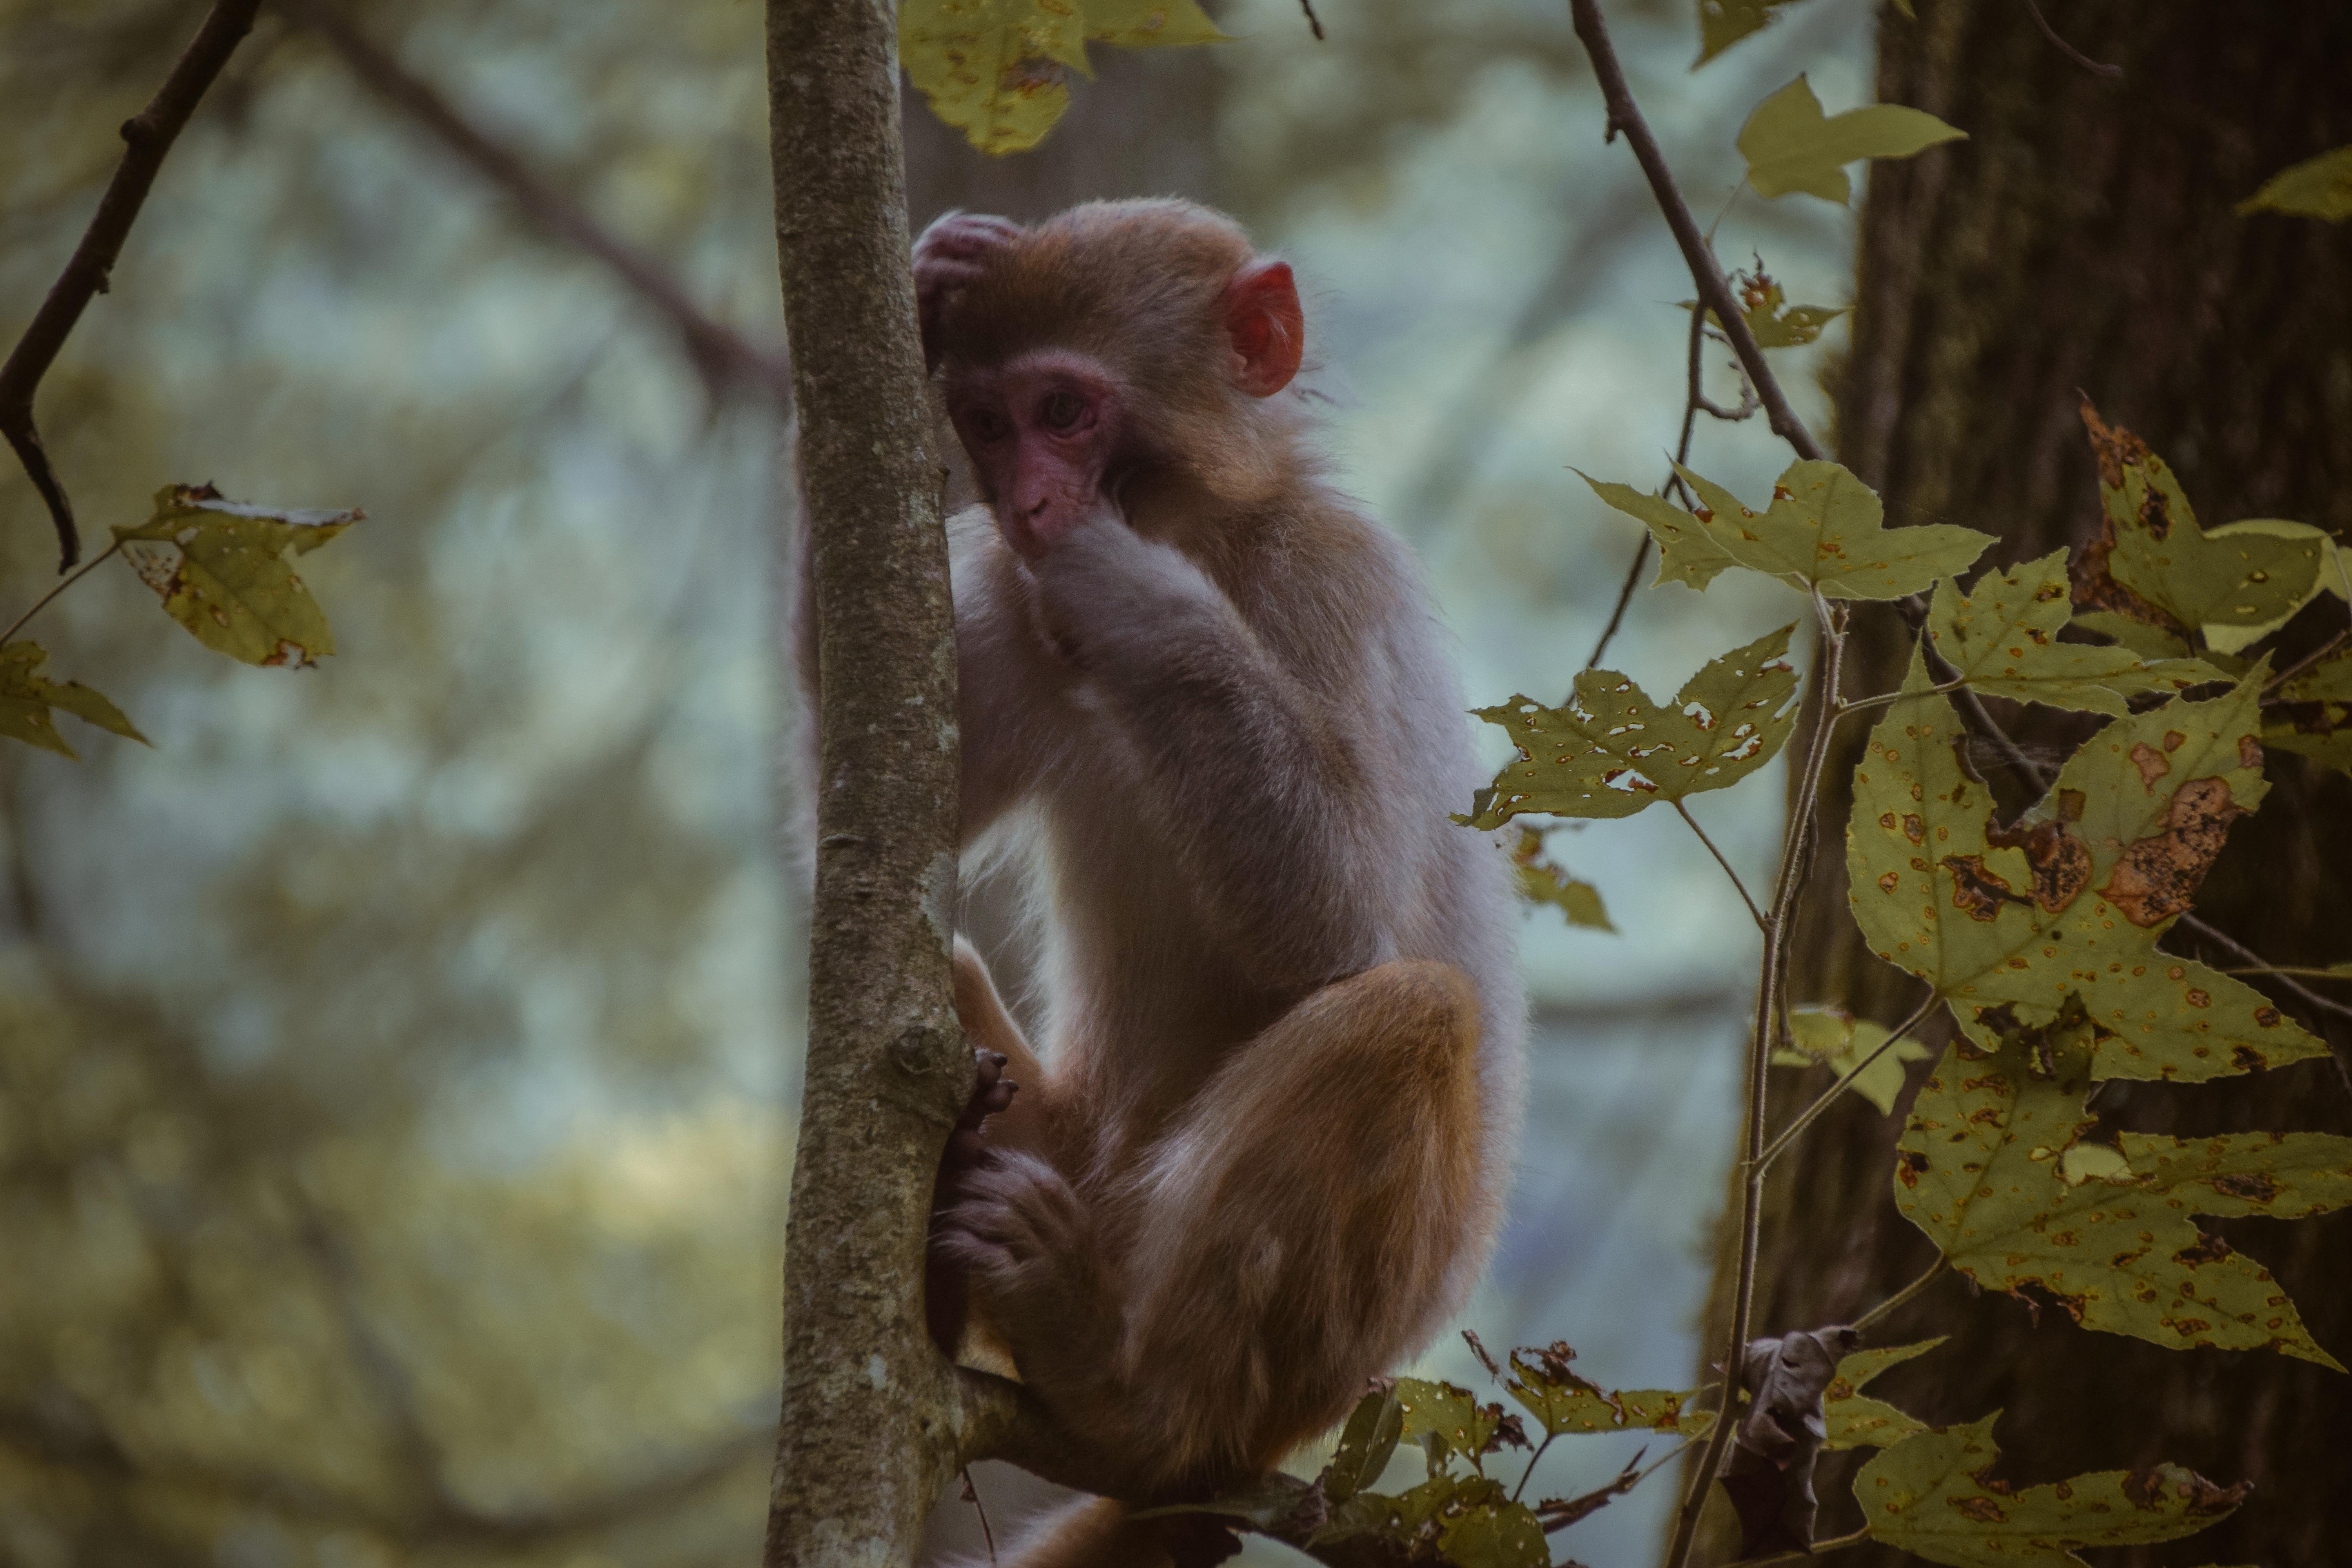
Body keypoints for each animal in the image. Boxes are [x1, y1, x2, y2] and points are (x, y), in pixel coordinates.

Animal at [818, 200, 1524, 1568]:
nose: (1030, 498)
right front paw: (929, 272)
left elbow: (1334, 916)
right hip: (1063, 1135)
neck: (1206, 529)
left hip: (1319, 1351)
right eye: (986, 422)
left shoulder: (1330, 580)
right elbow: (859, 817)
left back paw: (1125, 1391)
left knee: (1408, 1015)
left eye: (1063, 410)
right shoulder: (1003, 598)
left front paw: (1127, 586)